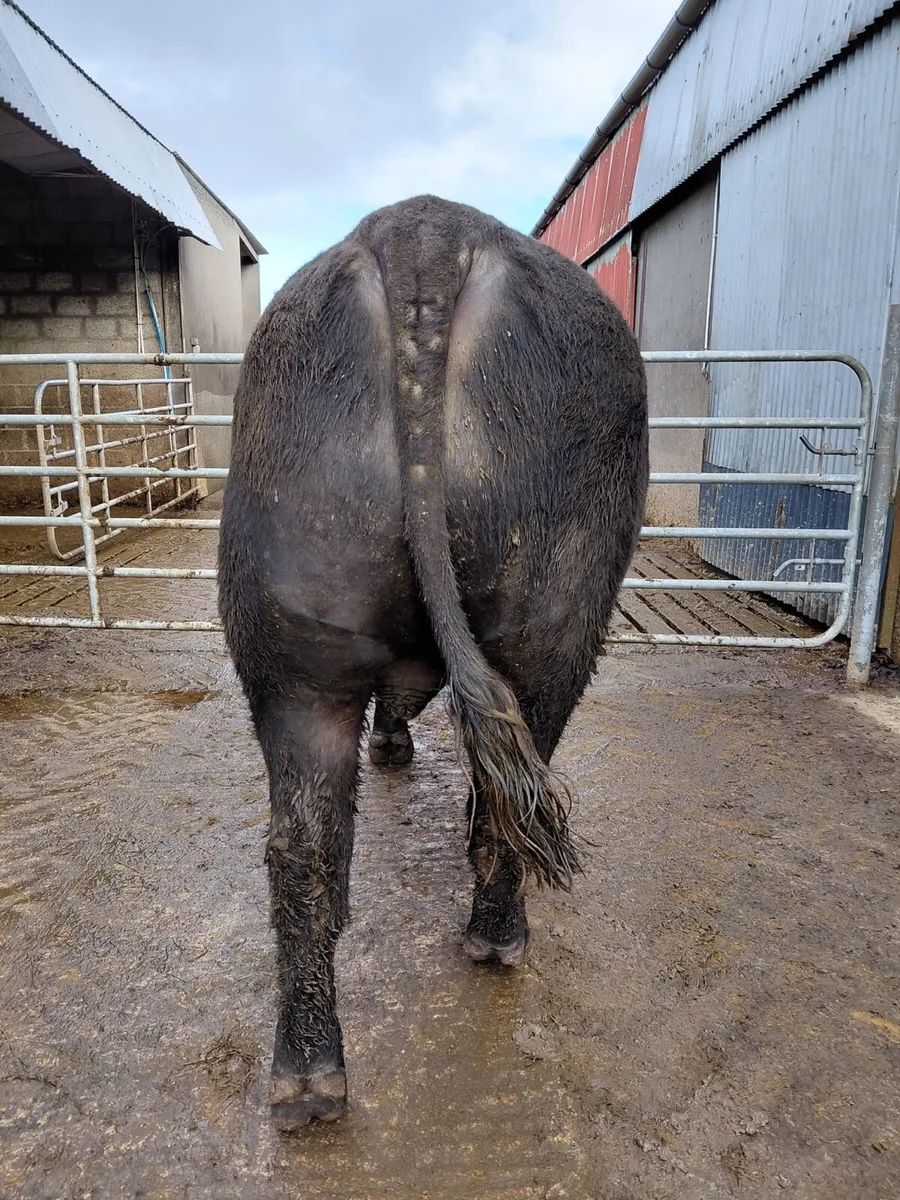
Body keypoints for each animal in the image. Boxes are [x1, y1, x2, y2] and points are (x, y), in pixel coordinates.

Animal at [217, 195, 648, 1130]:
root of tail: (425, 232)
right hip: (557, 624)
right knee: (512, 795)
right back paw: (497, 940)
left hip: (291, 641)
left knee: (302, 848)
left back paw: (308, 1077)